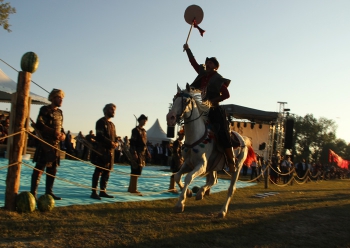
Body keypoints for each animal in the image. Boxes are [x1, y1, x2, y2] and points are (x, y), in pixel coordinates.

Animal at [167, 84, 254, 218]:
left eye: (186, 101)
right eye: (174, 99)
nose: (170, 118)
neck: (196, 136)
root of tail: (242, 139)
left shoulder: (202, 166)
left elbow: (188, 177)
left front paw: (180, 203)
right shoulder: (188, 163)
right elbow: (177, 176)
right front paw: (189, 192)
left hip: (237, 167)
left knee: (231, 189)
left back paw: (222, 211)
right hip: (214, 166)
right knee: (214, 180)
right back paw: (200, 193)